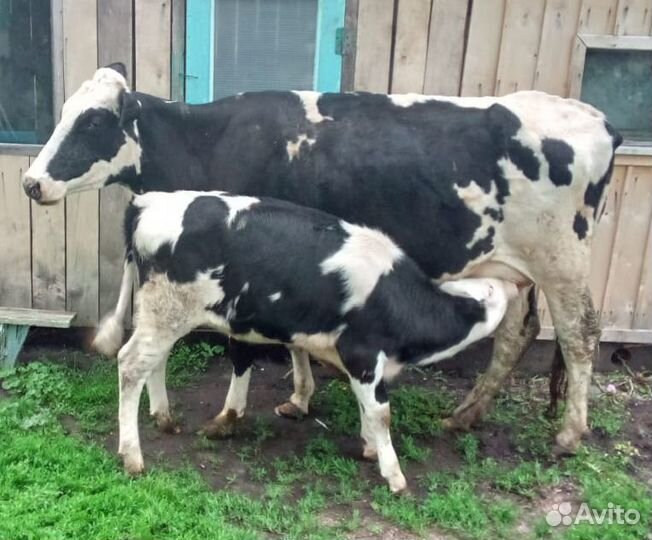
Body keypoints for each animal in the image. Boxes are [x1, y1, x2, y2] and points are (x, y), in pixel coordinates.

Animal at [23, 63, 622, 455]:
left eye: (92, 124)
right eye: (63, 113)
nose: (31, 182)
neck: (207, 138)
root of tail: (595, 118)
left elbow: (244, 348)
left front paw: (229, 415)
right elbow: (293, 339)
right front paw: (300, 396)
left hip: (562, 259)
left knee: (579, 334)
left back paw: (570, 434)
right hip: (512, 266)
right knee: (515, 334)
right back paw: (466, 415)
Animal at [116, 189, 516, 491]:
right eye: (492, 290)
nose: (515, 284)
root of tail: (147, 202)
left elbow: (364, 405)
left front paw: (369, 446)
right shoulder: (362, 353)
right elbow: (381, 412)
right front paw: (394, 474)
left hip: (162, 312)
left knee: (155, 361)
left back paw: (164, 418)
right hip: (166, 309)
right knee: (131, 365)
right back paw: (132, 455)